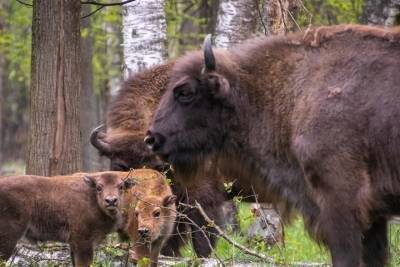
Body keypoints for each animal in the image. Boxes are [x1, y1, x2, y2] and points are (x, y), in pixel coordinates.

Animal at [0, 173, 134, 266]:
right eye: (99, 187)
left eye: (121, 186)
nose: (111, 201)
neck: (92, 199)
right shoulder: (83, 242)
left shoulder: (74, 244)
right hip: (9, 238)